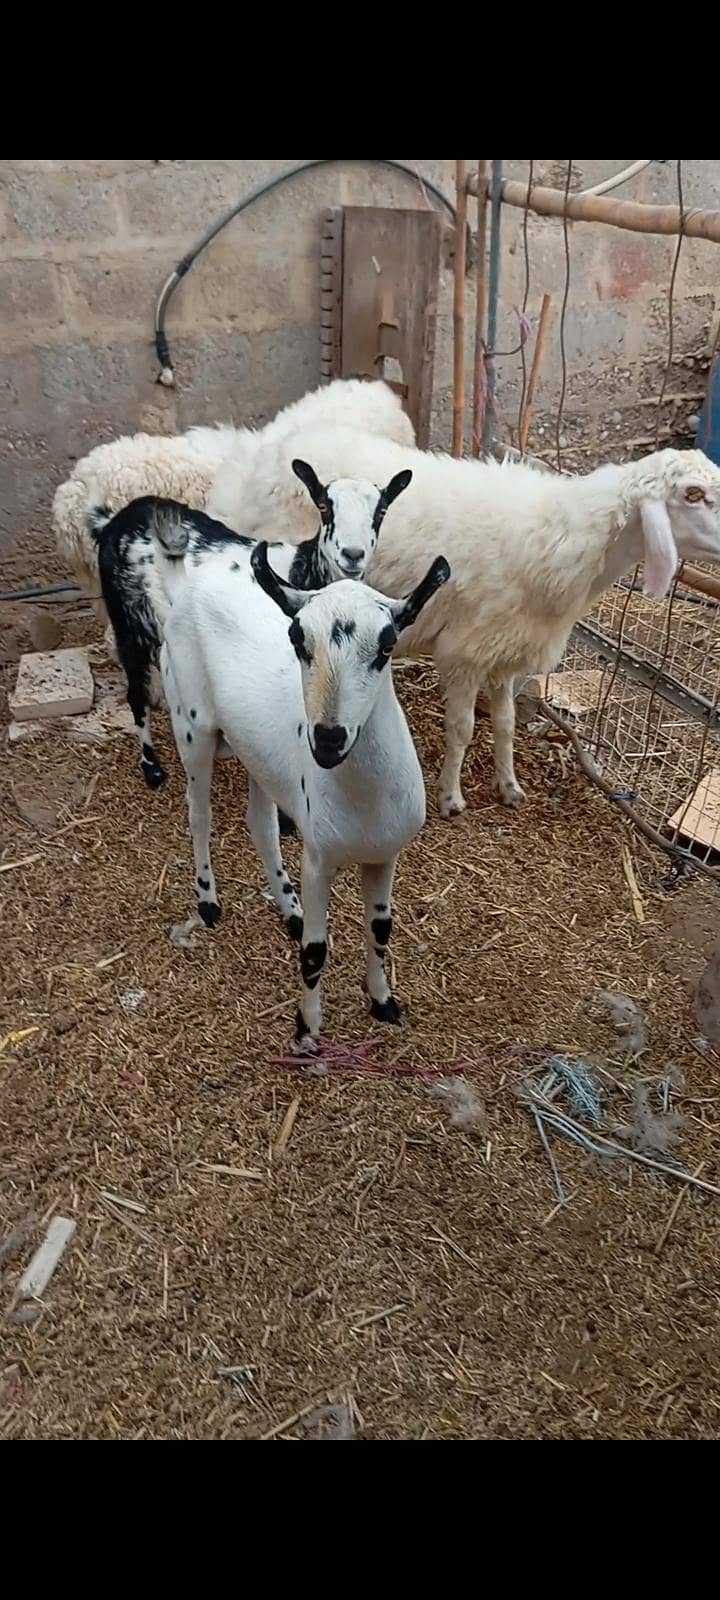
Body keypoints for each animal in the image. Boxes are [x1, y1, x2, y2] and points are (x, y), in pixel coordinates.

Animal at [88, 460, 412, 790]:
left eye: (381, 512)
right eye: (324, 507)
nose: (352, 555)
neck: (300, 573)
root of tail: (115, 521)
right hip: (129, 616)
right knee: (135, 691)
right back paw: (152, 769)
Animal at [157, 528, 449, 1049]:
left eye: (388, 644)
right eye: (296, 637)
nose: (328, 738)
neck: (365, 801)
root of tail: (190, 586)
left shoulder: (385, 855)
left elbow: (381, 928)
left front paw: (383, 1002)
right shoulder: (319, 859)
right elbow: (315, 949)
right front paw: (308, 1026)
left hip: (257, 755)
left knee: (261, 825)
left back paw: (287, 908)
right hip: (191, 725)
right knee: (199, 814)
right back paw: (209, 901)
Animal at [207, 431, 720, 817]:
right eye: (692, 495)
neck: (564, 538)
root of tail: (268, 445)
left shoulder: (506, 652)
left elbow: (507, 724)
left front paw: (509, 786)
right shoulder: (465, 651)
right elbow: (462, 728)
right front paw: (452, 797)